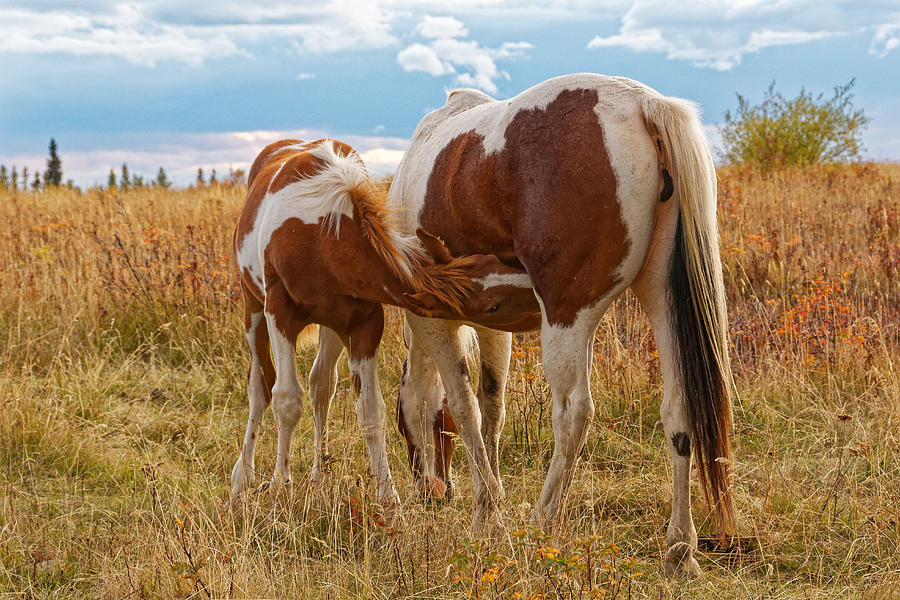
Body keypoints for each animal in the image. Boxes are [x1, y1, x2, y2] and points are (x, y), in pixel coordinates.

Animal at [229, 138, 536, 512]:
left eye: (493, 259)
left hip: (332, 328)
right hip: (254, 310)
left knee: (321, 385)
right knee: (261, 387)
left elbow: (371, 410)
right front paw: (279, 488)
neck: (320, 234)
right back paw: (242, 479)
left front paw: (388, 500)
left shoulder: (364, 324)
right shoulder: (280, 314)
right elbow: (287, 401)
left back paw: (318, 479)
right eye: (493, 304)